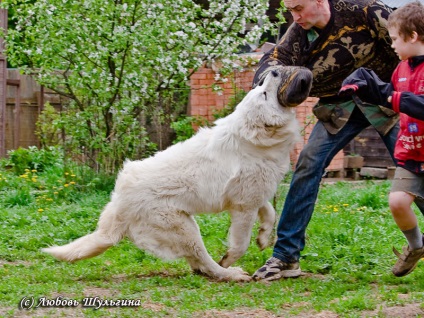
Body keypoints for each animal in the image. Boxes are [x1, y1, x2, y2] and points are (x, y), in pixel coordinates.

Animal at [43, 64, 314, 280]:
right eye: (264, 92)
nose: (275, 71)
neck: (256, 138)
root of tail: (122, 203)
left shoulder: (253, 197)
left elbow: (269, 213)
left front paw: (264, 237)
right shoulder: (243, 207)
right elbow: (240, 243)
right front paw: (232, 257)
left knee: (197, 264)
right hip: (187, 230)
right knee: (204, 260)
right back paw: (229, 274)